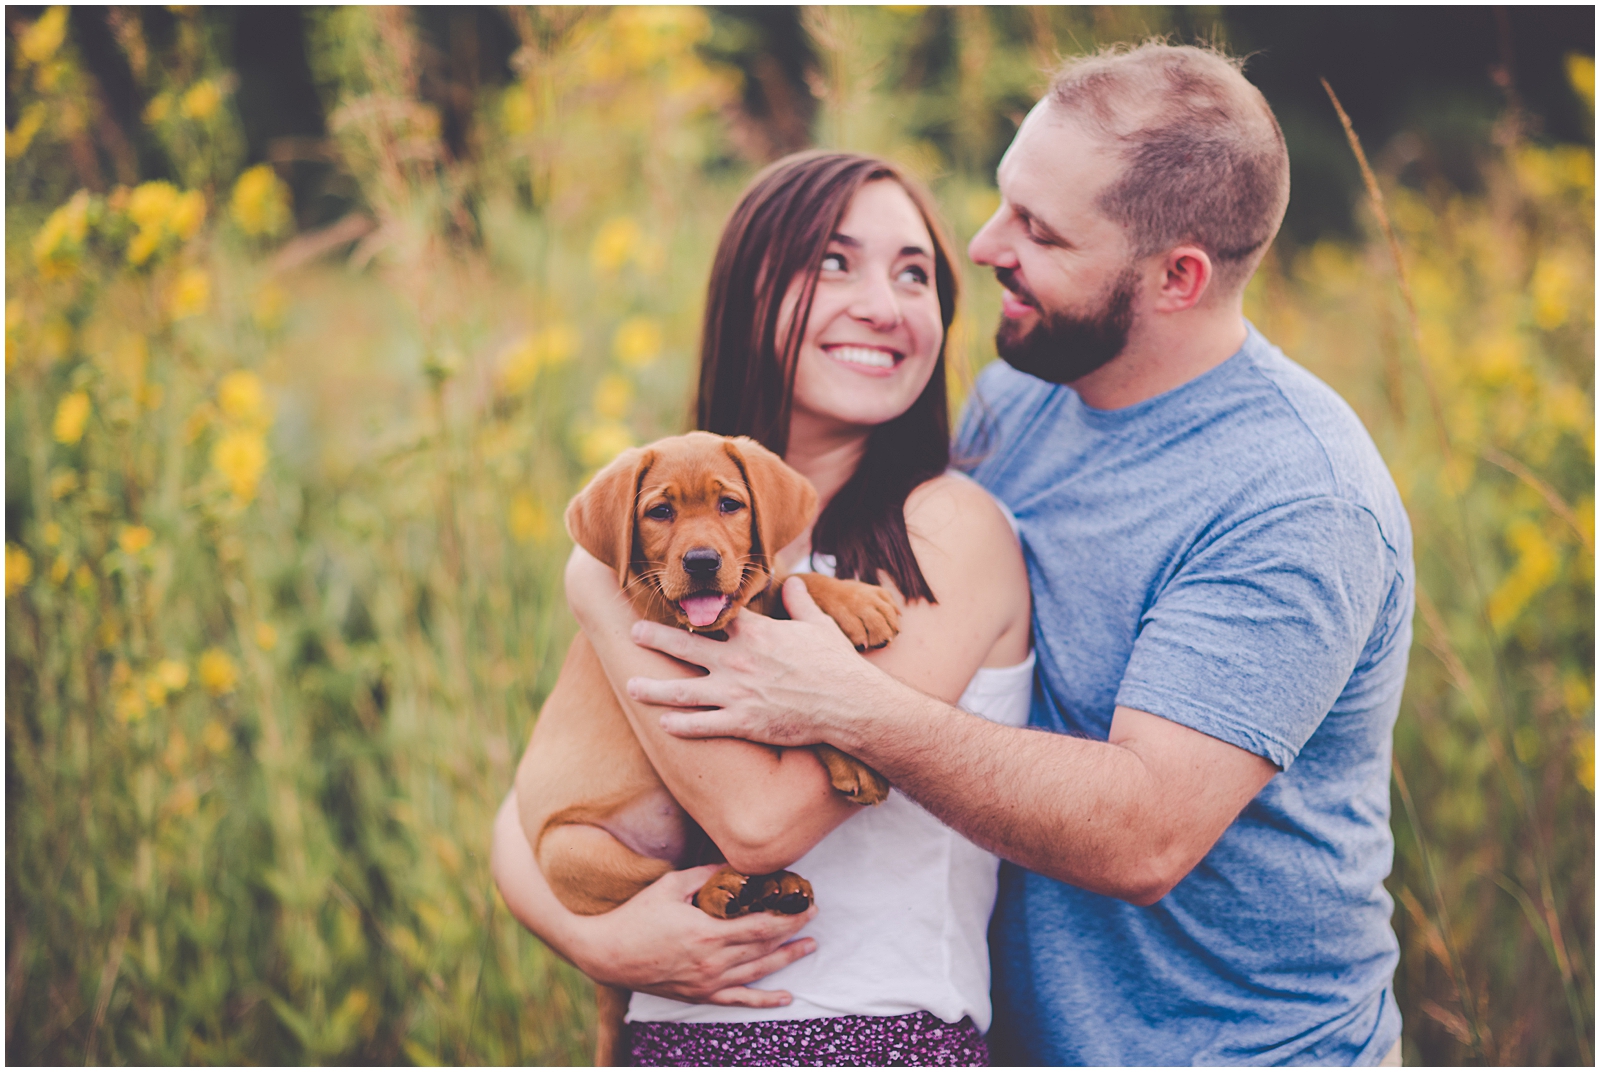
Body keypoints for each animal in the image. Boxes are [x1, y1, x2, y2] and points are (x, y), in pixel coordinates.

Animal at [521, 432, 908, 1068]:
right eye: (659, 512)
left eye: (730, 505)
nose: (701, 562)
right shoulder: (711, 678)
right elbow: (795, 698)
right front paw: (854, 758)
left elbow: (783, 581)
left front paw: (851, 600)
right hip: (571, 849)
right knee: (666, 883)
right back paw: (722, 890)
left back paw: (772, 887)